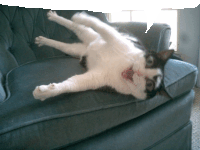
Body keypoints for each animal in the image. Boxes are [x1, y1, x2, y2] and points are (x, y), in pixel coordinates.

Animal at [32, 10, 173, 101]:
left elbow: (71, 85)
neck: (119, 68)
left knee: (63, 46)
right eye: (149, 61)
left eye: (149, 85)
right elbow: (100, 25)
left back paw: (43, 40)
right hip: (91, 35)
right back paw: (57, 17)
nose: (139, 73)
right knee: (77, 26)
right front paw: (81, 17)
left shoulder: (96, 79)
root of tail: (87, 47)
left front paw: (45, 93)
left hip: (75, 49)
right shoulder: (114, 38)